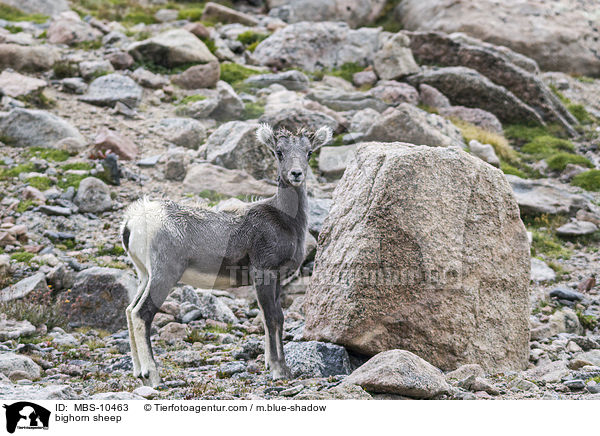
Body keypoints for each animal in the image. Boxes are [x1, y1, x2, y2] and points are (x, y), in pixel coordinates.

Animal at [121, 122, 332, 384]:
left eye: (309, 152)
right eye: (279, 152)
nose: (296, 174)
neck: (286, 219)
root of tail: (132, 223)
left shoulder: (277, 279)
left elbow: (276, 318)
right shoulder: (264, 272)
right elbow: (272, 317)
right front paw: (279, 370)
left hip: (144, 276)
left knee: (130, 310)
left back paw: (138, 372)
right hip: (164, 275)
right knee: (142, 314)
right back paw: (152, 376)